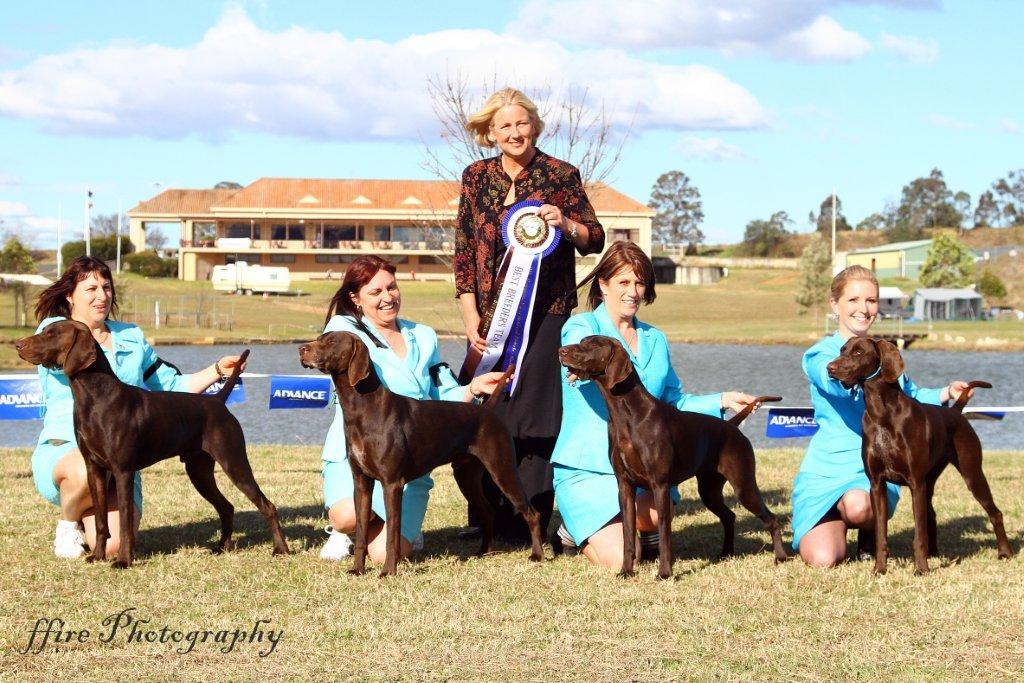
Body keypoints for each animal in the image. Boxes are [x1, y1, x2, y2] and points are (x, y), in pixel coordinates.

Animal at [14, 323, 288, 569]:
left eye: (52, 333)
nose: (18, 344)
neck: (95, 398)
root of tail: (218, 401)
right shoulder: (94, 469)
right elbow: (102, 521)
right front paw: (98, 556)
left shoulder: (123, 471)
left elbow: (124, 523)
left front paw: (123, 561)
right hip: (199, 471)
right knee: (227, 507)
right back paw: (222, 547)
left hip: (233, 461)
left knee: (267, 506)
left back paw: (280, 549)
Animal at [823, 339, 1007, 573]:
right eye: (842, 350)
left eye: (858, 352)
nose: (830, 368)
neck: (881, 412)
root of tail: (955, 411)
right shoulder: (877, 484)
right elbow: (881, 533)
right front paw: (879, 569)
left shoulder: (915, 483)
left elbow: (918, 534)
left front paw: (921, 569)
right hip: (930, 480)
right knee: (932, 514)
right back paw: (933, 553)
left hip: (971, 474)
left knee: (995, 513)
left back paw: (1005, 553)